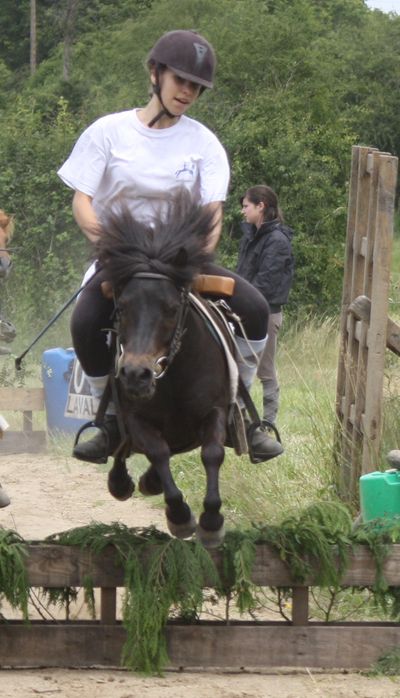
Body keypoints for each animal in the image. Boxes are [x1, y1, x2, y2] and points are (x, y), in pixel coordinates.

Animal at [95, 193, 235, 547]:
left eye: (171, 309)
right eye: (122, 307)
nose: (135, 374)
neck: (174, 378)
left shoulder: (215, 410)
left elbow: (212, 453)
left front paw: (211, 521)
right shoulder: (135, 418)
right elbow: (157, 451)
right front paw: (180, 516)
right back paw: (124, 480)